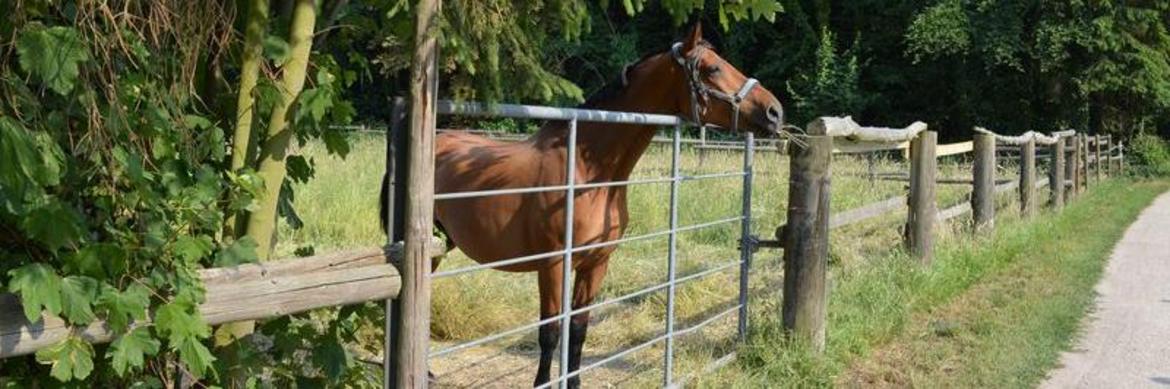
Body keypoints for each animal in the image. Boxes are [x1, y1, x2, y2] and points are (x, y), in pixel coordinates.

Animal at [386, 23, 786, 386]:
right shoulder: (552, 266)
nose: (775, 112)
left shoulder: (596, 264)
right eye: (713, 68)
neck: (589, 172)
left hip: (440, 247)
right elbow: (550, 332)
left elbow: (578, 329)